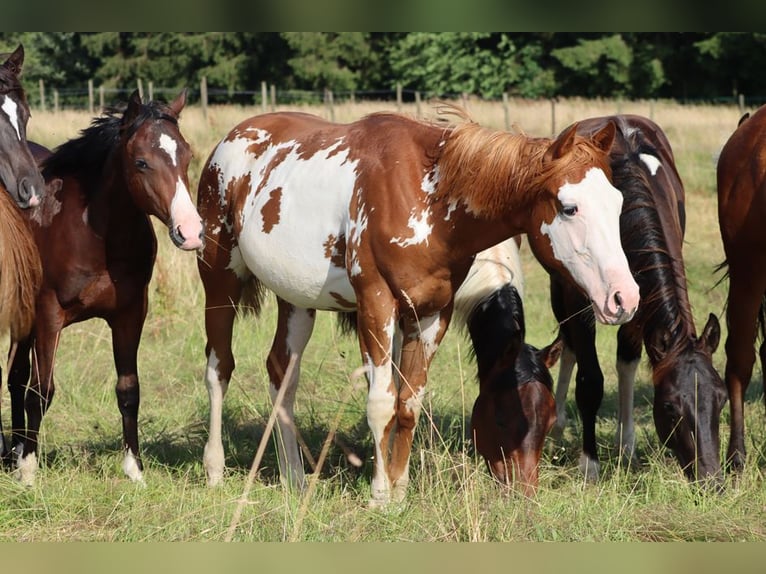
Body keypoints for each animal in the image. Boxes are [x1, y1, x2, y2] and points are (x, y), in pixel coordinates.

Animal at [5, 90, 204, 485]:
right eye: (141, 162)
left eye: (187, 155)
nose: (190, 232)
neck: (97, 236)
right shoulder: (48, 316)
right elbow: (41, 392)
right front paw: (30, 473)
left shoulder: (130, 314)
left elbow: (129, 390)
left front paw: (135, 470)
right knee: (19, 380)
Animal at [549, 114, 726, 484]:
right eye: (670, 406)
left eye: (721, 400)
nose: (711, 479)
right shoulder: (578, 296)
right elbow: (590, 378)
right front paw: (590, 465)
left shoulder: (634, 297)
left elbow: (628, 359)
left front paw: (626, 449)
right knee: (568, 342)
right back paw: (556, 425)